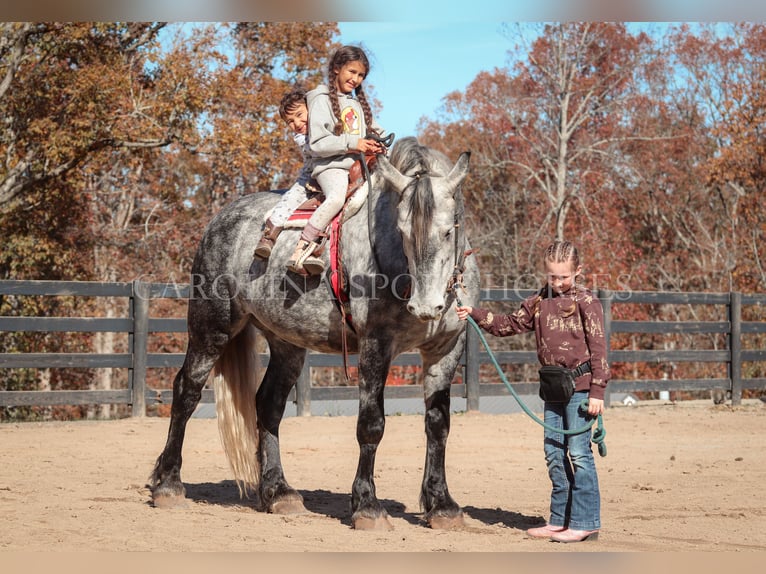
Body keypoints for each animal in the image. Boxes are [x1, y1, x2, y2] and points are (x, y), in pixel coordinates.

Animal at [150, 136, 480, 532]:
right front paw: (367, 506)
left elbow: (438, 424)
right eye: (402, 232)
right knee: (186, 392)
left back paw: (279, 493)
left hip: (287, 344)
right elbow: (371, 425)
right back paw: (168, 485)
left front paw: (442, 505)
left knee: (268, 405)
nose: (426, 306)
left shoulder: (446, 349)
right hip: (211, 328)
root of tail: (223, 218)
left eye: (449, 230)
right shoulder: (376, 346)